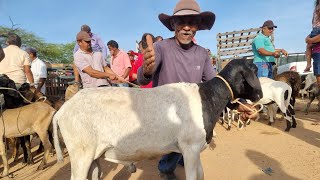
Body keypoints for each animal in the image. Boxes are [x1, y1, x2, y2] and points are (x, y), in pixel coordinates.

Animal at [52, 59, 262, 180]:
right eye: (254, 70)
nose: (259, 95)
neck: (207, 97)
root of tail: (62, 110)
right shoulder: (190, 148)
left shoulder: (195, 149)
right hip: (80, 154)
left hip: (93, 156)